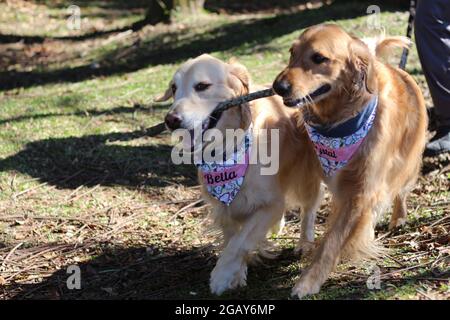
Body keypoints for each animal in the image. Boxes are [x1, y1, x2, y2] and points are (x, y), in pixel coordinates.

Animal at [158, 54, 324, 296]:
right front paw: (236, 274)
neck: (229, 146)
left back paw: (304, 242)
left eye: (202, 86)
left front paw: (221, 275)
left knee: (310, 206)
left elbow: (241, 241)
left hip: (307, 172)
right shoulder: (225, 206)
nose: (171, 120)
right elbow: (233, 238)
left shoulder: (270, 203)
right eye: (173, 87)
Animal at [272, 24, 428, 298]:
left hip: (407, 162)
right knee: (310, 206)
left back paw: (398, 217)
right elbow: (309, 210)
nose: (278, 87)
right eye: (292, 53)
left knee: (401, 190)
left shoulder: (360, 191)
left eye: (319, 58)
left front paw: (308, 281)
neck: (340, 118)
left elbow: (332, 242)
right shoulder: (314, 167)